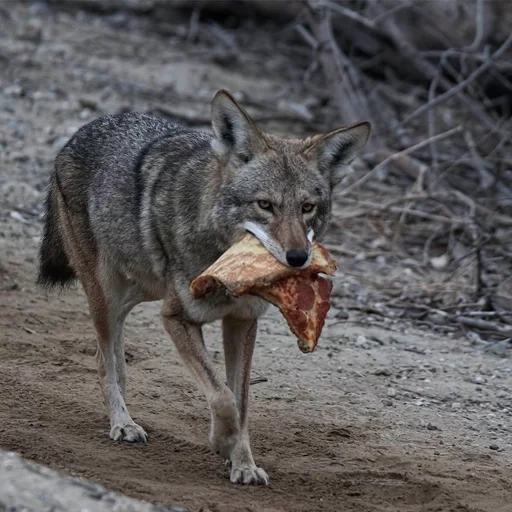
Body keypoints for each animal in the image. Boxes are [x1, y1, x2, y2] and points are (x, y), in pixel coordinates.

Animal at [37, 90, 372, 486]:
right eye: (265, 205)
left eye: (307, 207)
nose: (298, 258)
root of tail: (81, 131)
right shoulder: (176, 317)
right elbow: (222, 396)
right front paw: (221, 443)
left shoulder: (242, 323)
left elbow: (240, 402)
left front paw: (243, 464)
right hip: (106, 292)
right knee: (104, 359)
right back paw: (122, 423)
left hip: (142, 290)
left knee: (115, 352)